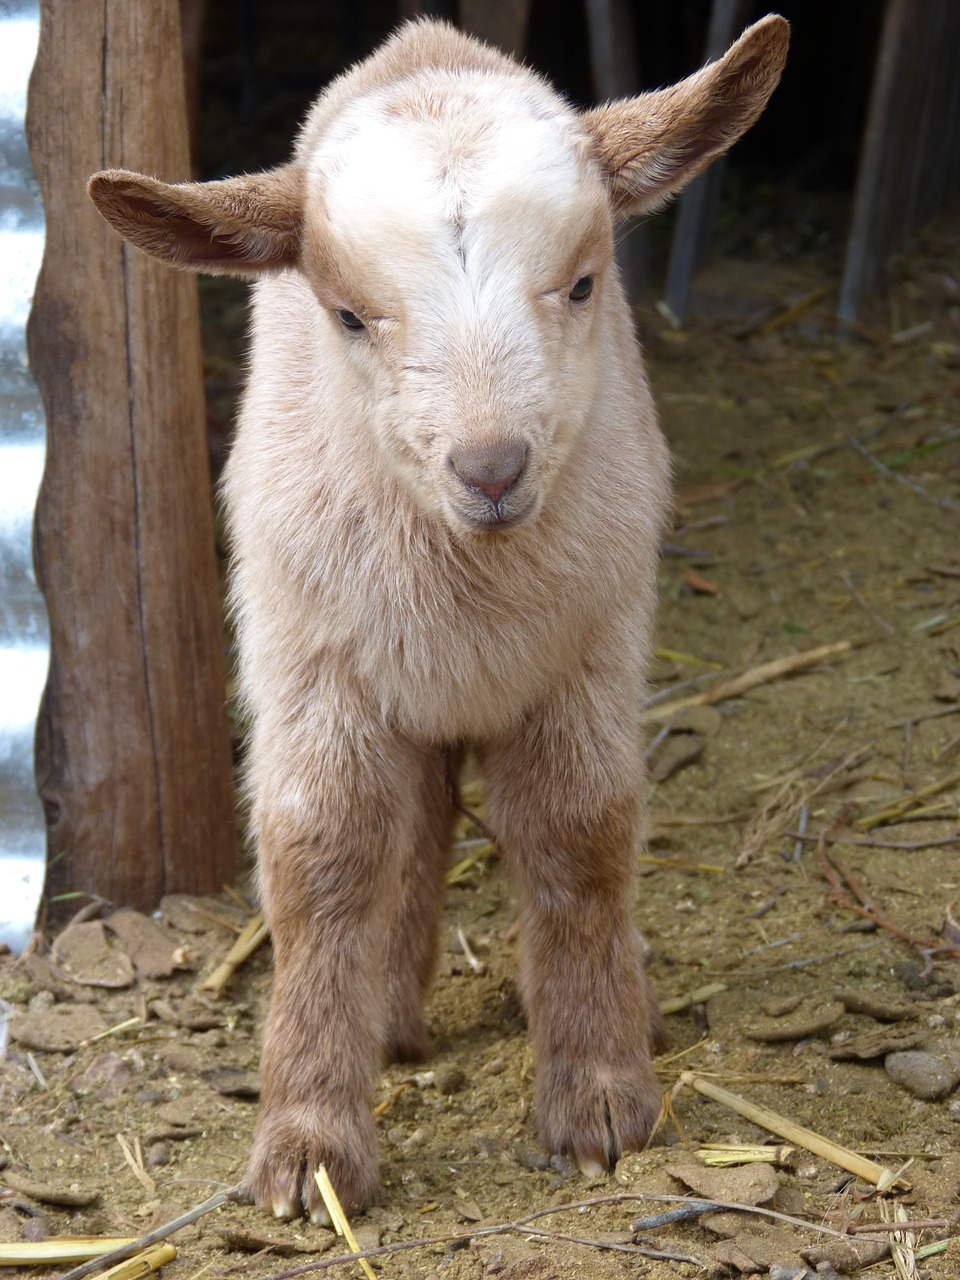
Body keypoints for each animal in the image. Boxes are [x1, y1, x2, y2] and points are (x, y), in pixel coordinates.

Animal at [92, 17, 788, 1218]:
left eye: (586, 282)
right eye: (347, 313)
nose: (492, 468)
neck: (470, 577)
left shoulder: (588, 654)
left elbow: (582, 834)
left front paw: (602, 1098)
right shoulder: (309, 664)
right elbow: (322, 856)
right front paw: (310, 1144)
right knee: (410, 819)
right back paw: (388, 1015)